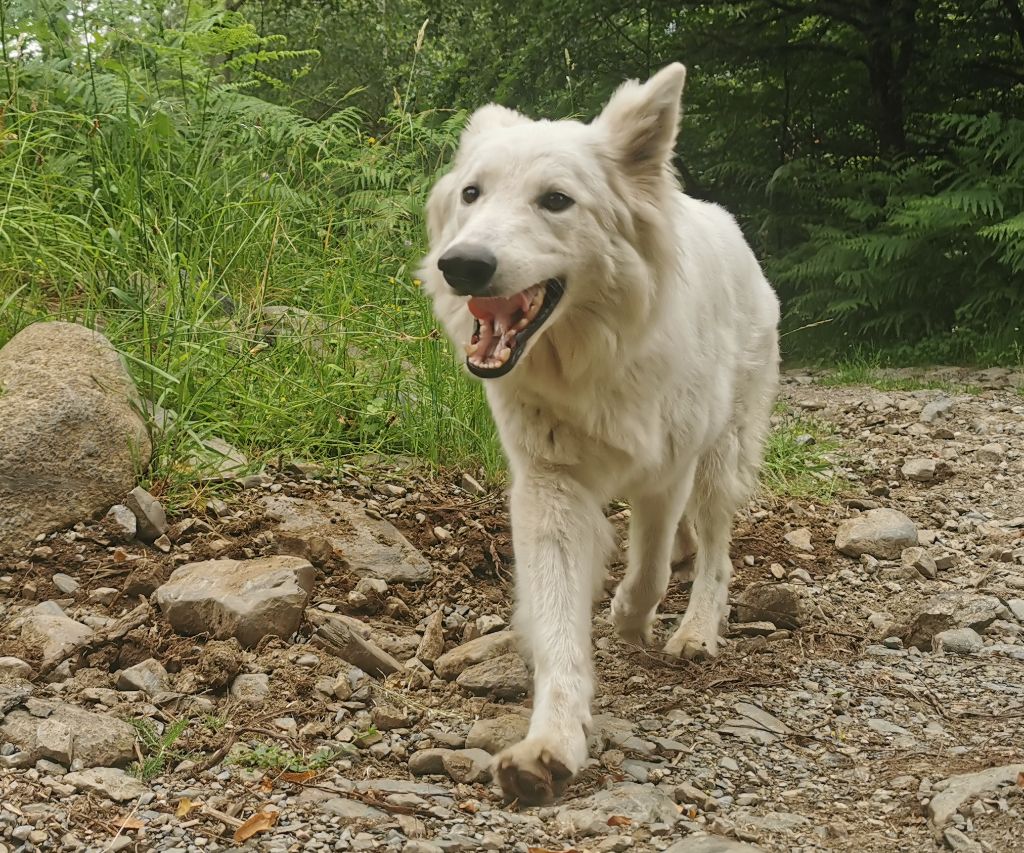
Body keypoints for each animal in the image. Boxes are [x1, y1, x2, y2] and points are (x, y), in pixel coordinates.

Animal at [419, 63, 778, 802]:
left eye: (556, 201)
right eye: (472, 193)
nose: (461, 265)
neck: (595, 359)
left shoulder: (666, 475)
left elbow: (647, 570)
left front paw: (630, 619)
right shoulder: (549, 489)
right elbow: (559, 622)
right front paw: (551, 741)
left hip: (718, 462)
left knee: (715, 552)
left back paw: (696, 629)